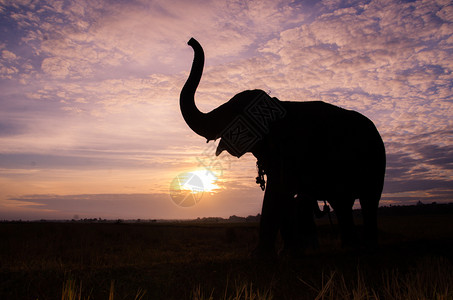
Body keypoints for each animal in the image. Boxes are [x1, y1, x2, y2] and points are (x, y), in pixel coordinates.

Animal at [180, 37, 384, 256]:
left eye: (234, 112)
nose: (190, 41)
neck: (277, 106)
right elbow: (282, 193)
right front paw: (287, 253)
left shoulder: (293, 149)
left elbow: (278, 189)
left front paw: (259, 256)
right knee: (341, 203)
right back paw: (349, 247)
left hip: (376, 160)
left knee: (368, 200)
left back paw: (368, 247)